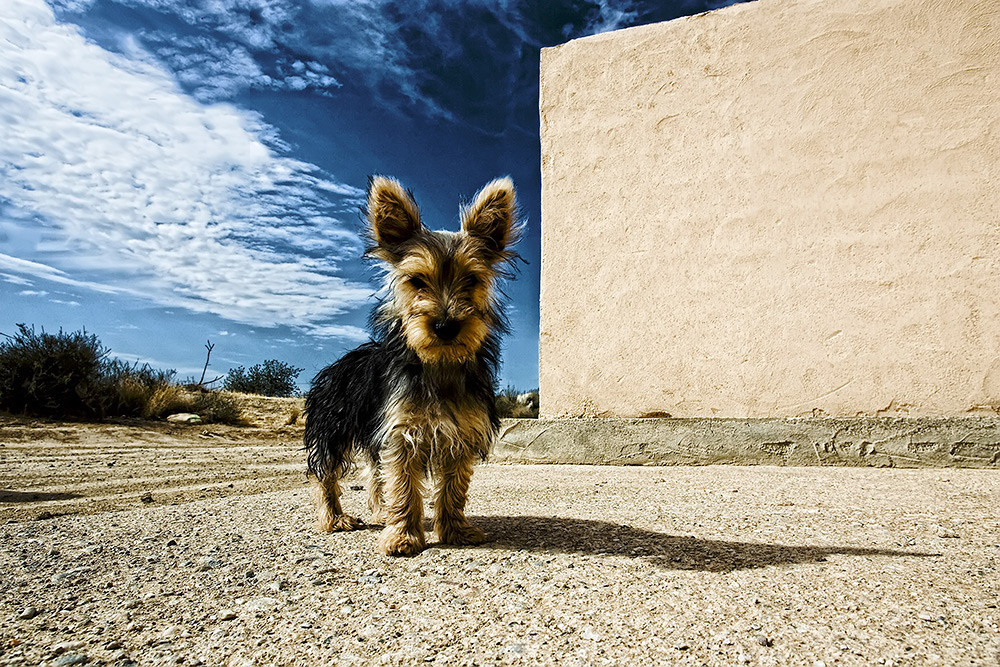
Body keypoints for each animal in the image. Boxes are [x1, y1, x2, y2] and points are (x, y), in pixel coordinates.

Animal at [304, 175, 524, 556]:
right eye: (417, 281)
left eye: (472, 280)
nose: (446, 325)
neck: (439, 363)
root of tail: (341, 362)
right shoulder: (401, 431)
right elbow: (403, 484)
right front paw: (403, 536)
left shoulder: (461, 433)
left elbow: (453, 487)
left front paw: (454, 529)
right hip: (333, 425)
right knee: (327, 473)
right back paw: (334, 518)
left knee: (375, 474)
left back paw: (380, 512)